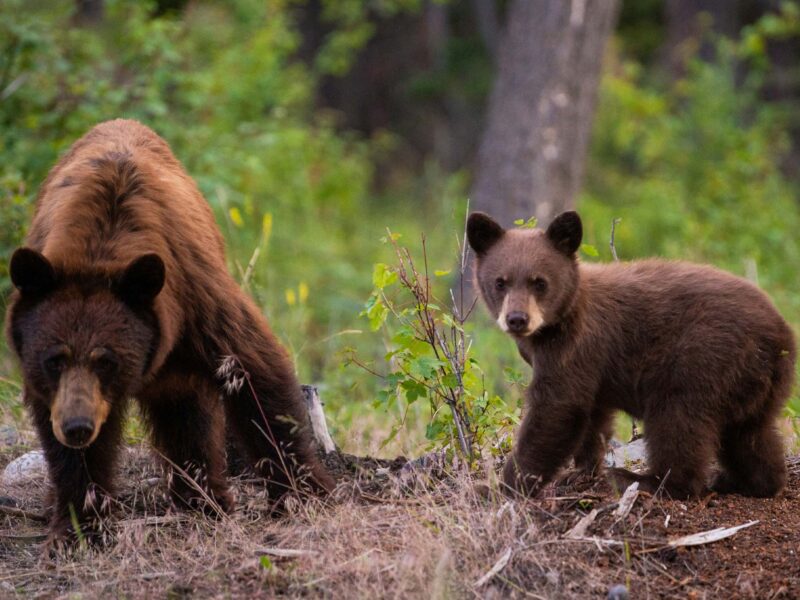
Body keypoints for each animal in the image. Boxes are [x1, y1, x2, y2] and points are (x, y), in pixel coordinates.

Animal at [6, 119, 335, 543]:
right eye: (54, 360)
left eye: (106, 360)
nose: (77, 427)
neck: (100, 249)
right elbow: (68, 451)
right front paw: (80, 526)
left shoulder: (197, 299)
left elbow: (255, 374)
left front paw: (303, 493)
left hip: (179, 365)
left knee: (187, 417)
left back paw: (203, 500)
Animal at [467, 210, 797, 499]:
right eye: (500, 282)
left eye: (539, 282)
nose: (517, 319)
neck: (558, 320)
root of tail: (781, 335)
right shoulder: (591, 366)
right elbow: (592, 415)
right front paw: (581, 470)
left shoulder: (575, 345)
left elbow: (556, 409)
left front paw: (502, 486)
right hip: (757, 382)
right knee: (750, 434)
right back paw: (747, 481)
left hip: (703, 359)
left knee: (678, 421)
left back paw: (646, 480)